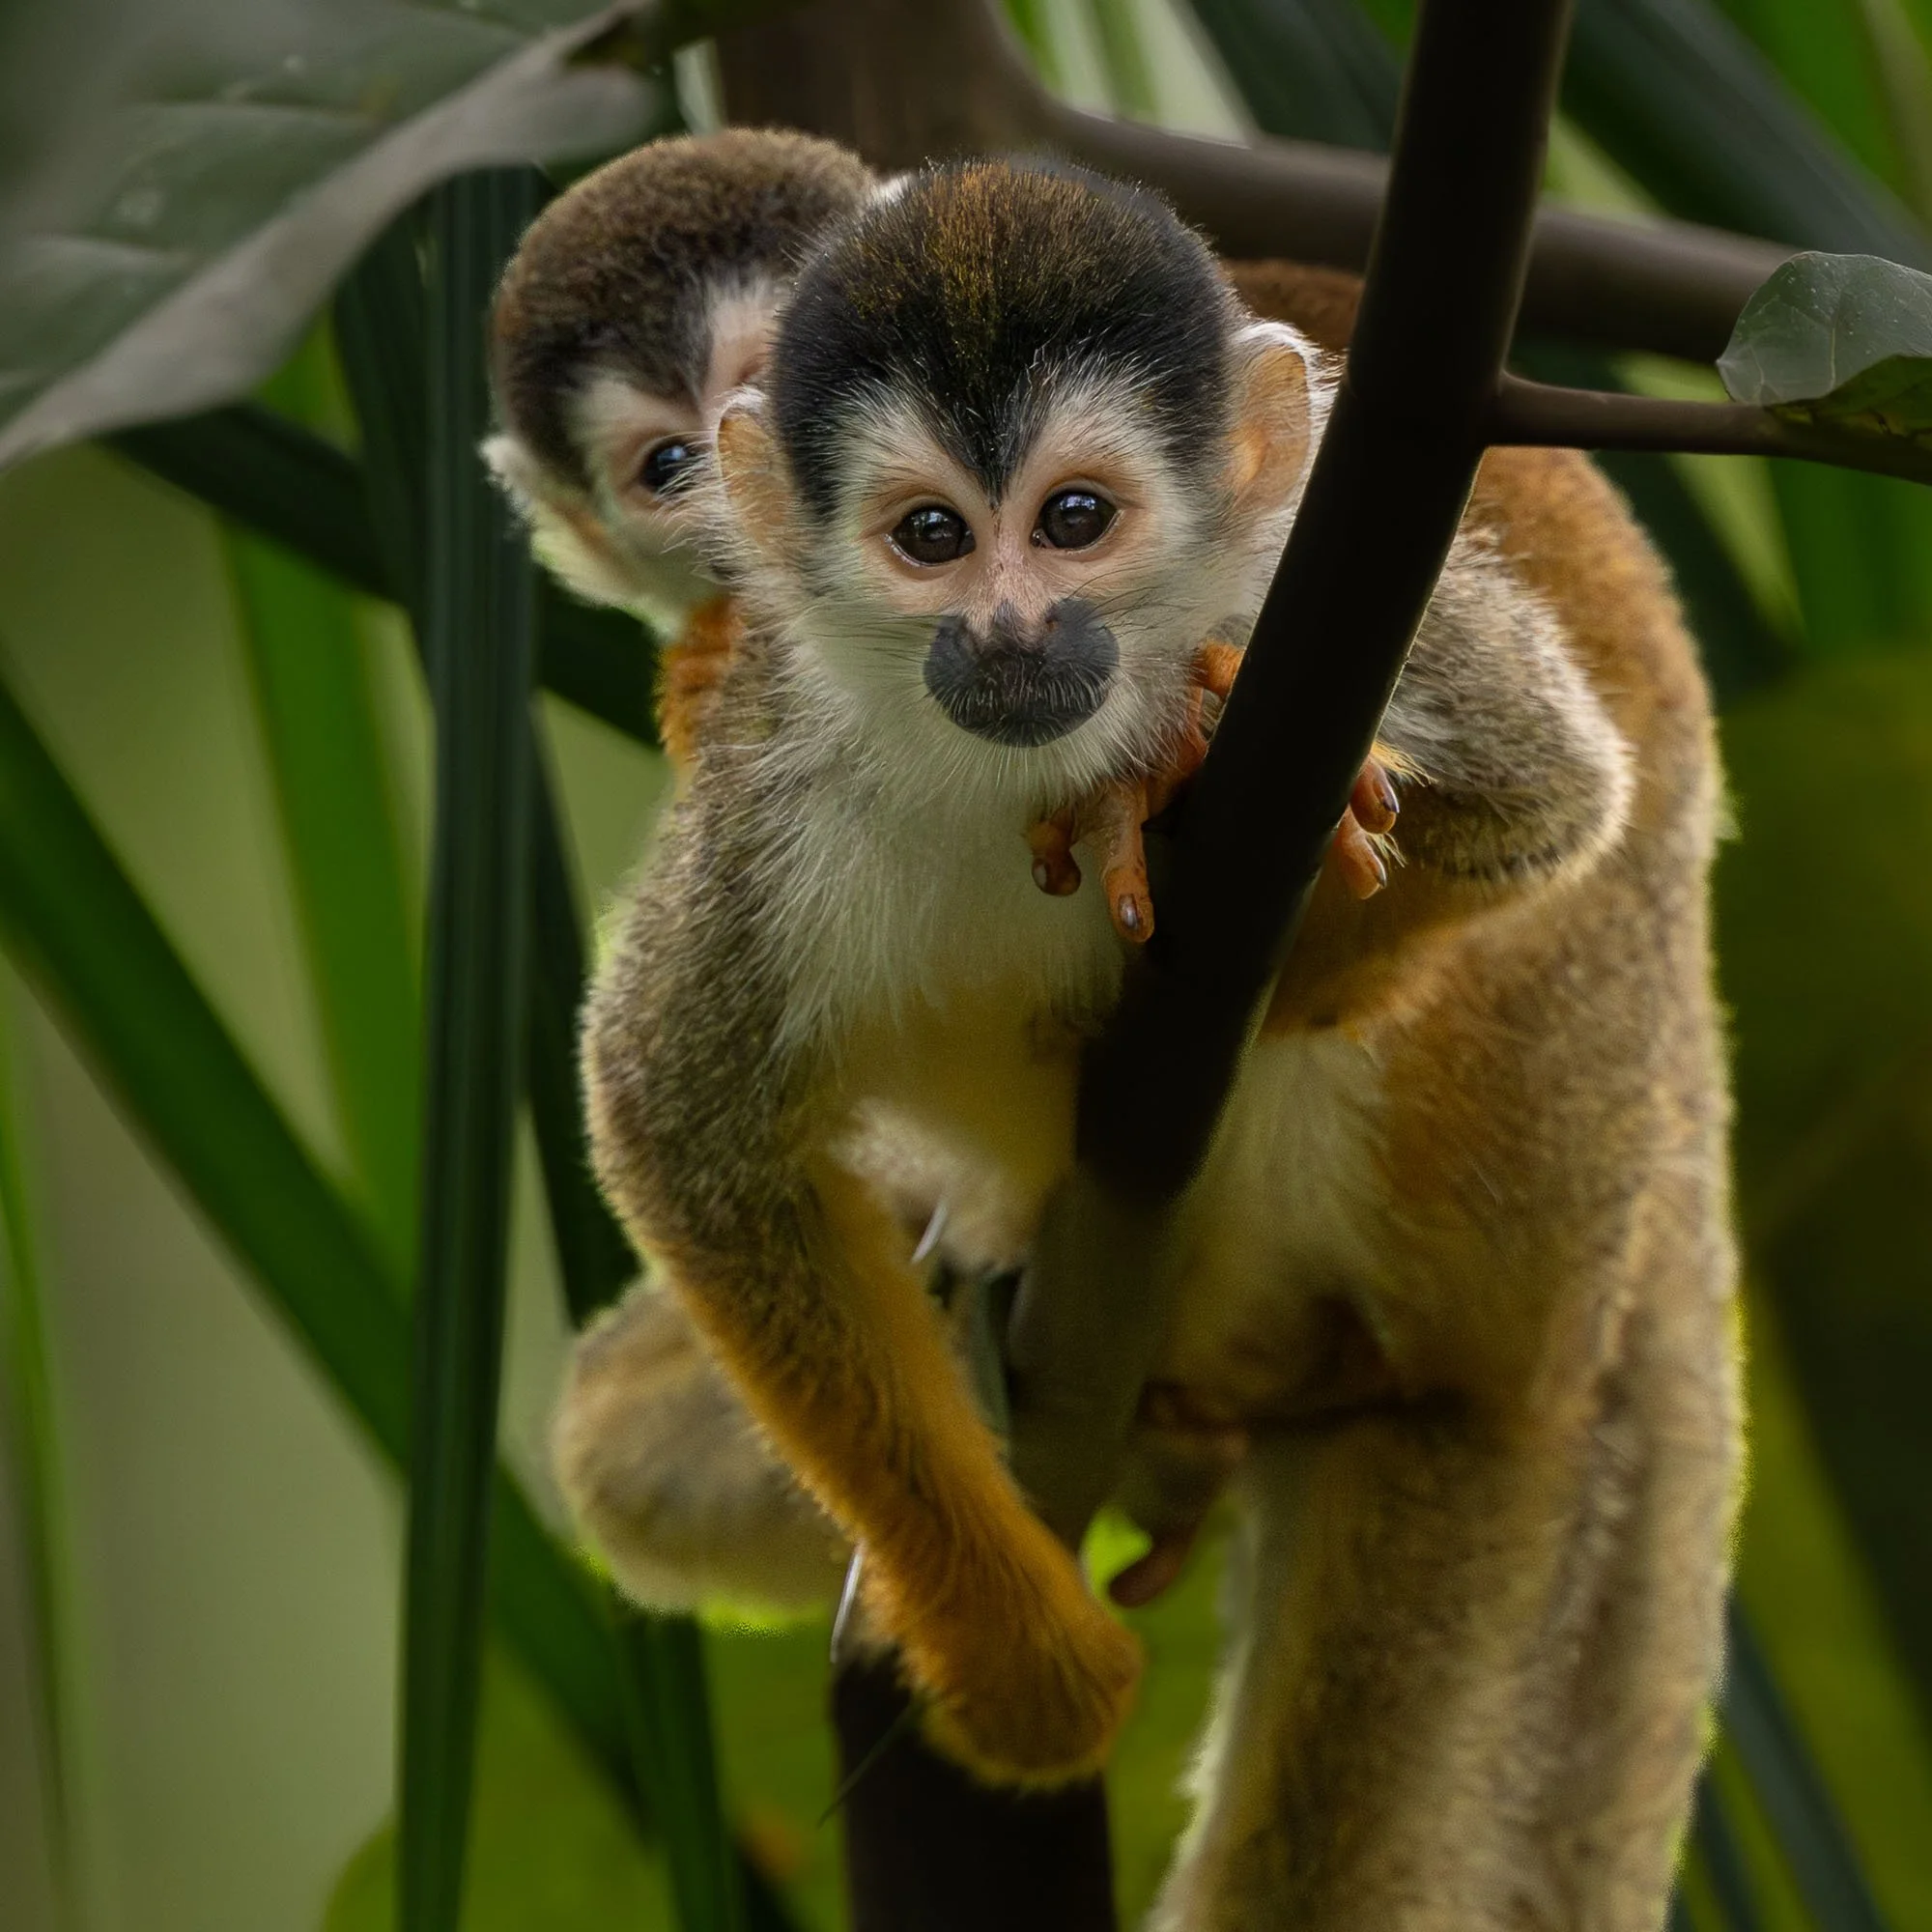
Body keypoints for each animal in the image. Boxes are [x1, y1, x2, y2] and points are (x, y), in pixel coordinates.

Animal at [553, 158, 1740, 1929]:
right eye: (929, 537)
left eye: (1074, 521)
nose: (1012, 632)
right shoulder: (780, 772)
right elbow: (685, 1138)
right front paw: (1015, 1653)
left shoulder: (1313, 607)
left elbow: (1548, 798)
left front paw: (1186, 797)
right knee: (617, 1447)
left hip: (1509, 1166)